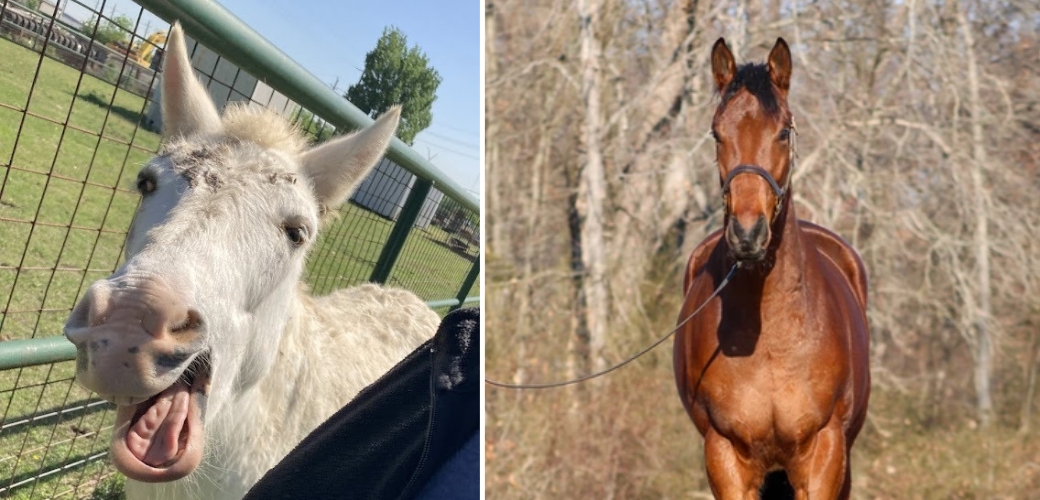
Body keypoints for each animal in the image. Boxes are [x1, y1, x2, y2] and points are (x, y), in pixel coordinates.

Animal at [673, 37, 870, 500]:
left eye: (783, 131)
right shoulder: (725, 454)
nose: (748, 234)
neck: (772, 340)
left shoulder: (824, 452)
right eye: (717, 132)